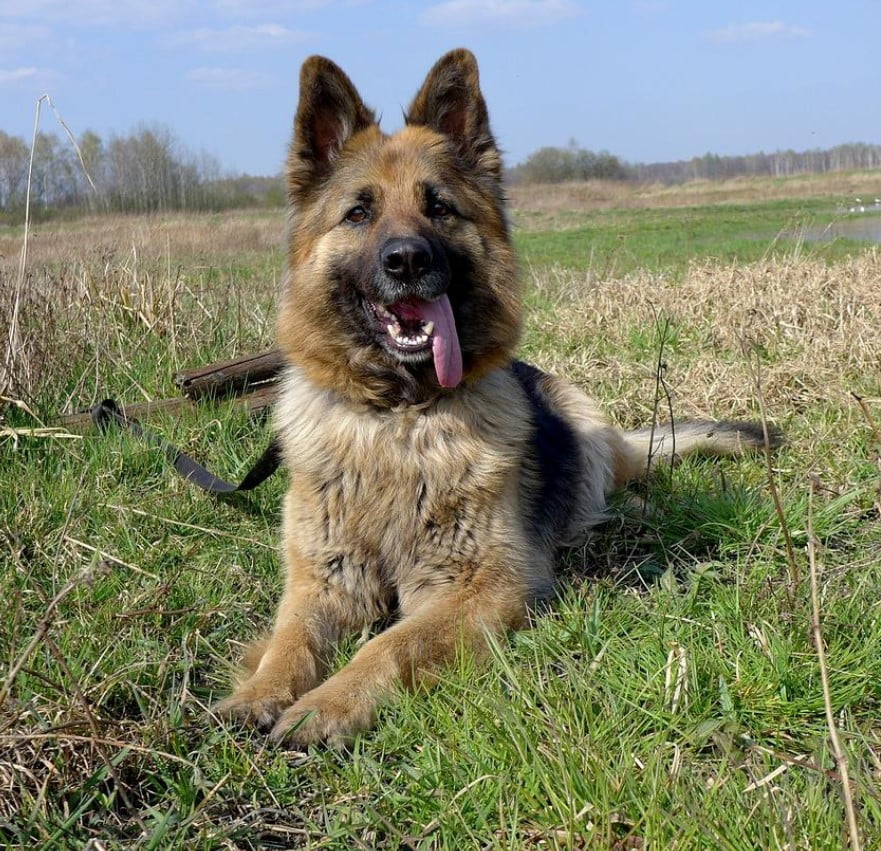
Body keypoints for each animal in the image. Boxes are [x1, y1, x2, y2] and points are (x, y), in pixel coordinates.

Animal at [217, 50, 780, 748]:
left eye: (439, 208)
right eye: (358, 213)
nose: (407, 261)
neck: (400, 418)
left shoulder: (482, 587)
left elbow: (388, 645)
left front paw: (329, 703)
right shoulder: (321, 579)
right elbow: (289, 640)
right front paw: (259, 693)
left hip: (586, 432)